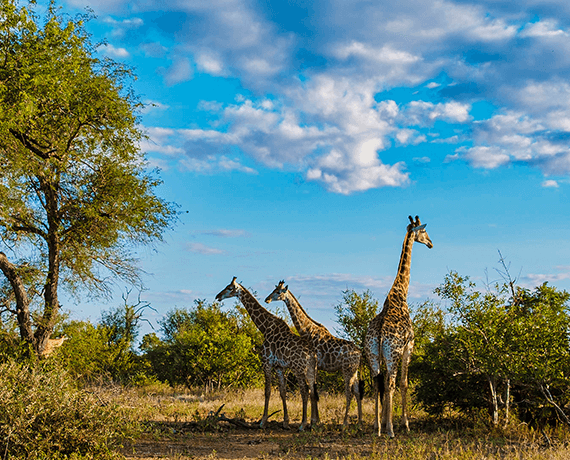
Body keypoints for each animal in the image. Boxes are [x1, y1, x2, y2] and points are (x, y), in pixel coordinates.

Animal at [214, 276, 320, 432]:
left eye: (229, 288)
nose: (218, 296)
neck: (264, 327)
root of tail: (312, 354)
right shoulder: (279, 366)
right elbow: (282, 392)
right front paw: (285, 422)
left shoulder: (266, 362)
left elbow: (268, 391)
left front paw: (263, 422)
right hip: (311, 369)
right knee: (313, 391)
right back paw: (314, 423)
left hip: (298, 369)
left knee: (305, 391)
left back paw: (302, 424)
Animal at [264, 282, 362, 430]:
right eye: (274, 289)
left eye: (278, 291)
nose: (267, 299)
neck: (307, 330)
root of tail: (360, 353)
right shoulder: (316, 366)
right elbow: (313, 391)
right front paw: (316, 421)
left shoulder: (314, 364)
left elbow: (312, 392)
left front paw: (313, 422)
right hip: (354, 371)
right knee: (357, 392)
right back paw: (360, 423)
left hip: (347, 370)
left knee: (349, 393)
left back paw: (344, 424)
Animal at [364, 216, 430, 438]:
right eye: (424, 232)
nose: (430, 243)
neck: (400, 293)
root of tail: (380, 334)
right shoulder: (409, 346)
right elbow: (404, 383)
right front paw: (404, 424)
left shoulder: (383, 355)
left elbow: (383, 384)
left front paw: (383, 422)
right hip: (392, 353)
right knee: (391, 384)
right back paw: (391, 431)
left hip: (373, 354)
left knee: (377, 383)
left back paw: (377, 428)